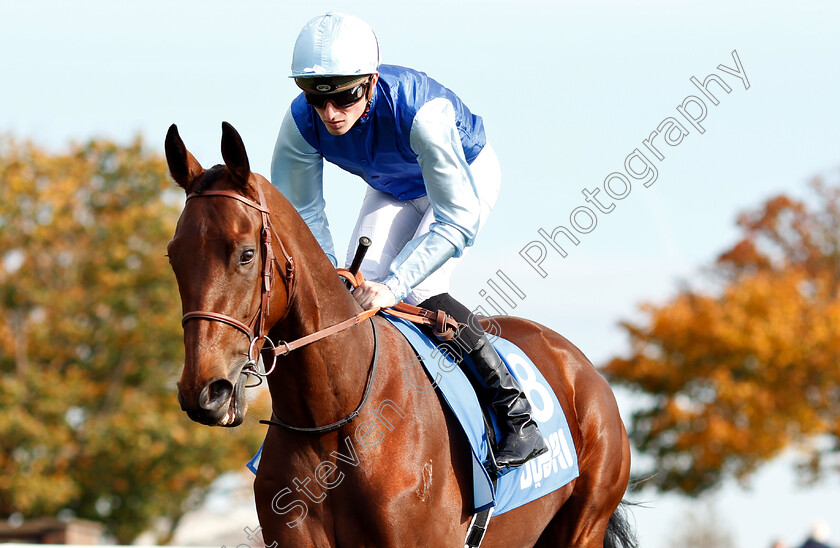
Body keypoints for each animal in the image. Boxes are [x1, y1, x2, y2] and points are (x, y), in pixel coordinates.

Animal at [166, 123, 636, 548]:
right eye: (173, 256)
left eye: (246, 254)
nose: (204, 391)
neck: (335, 419)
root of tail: (579, 363)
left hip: (585, 524)